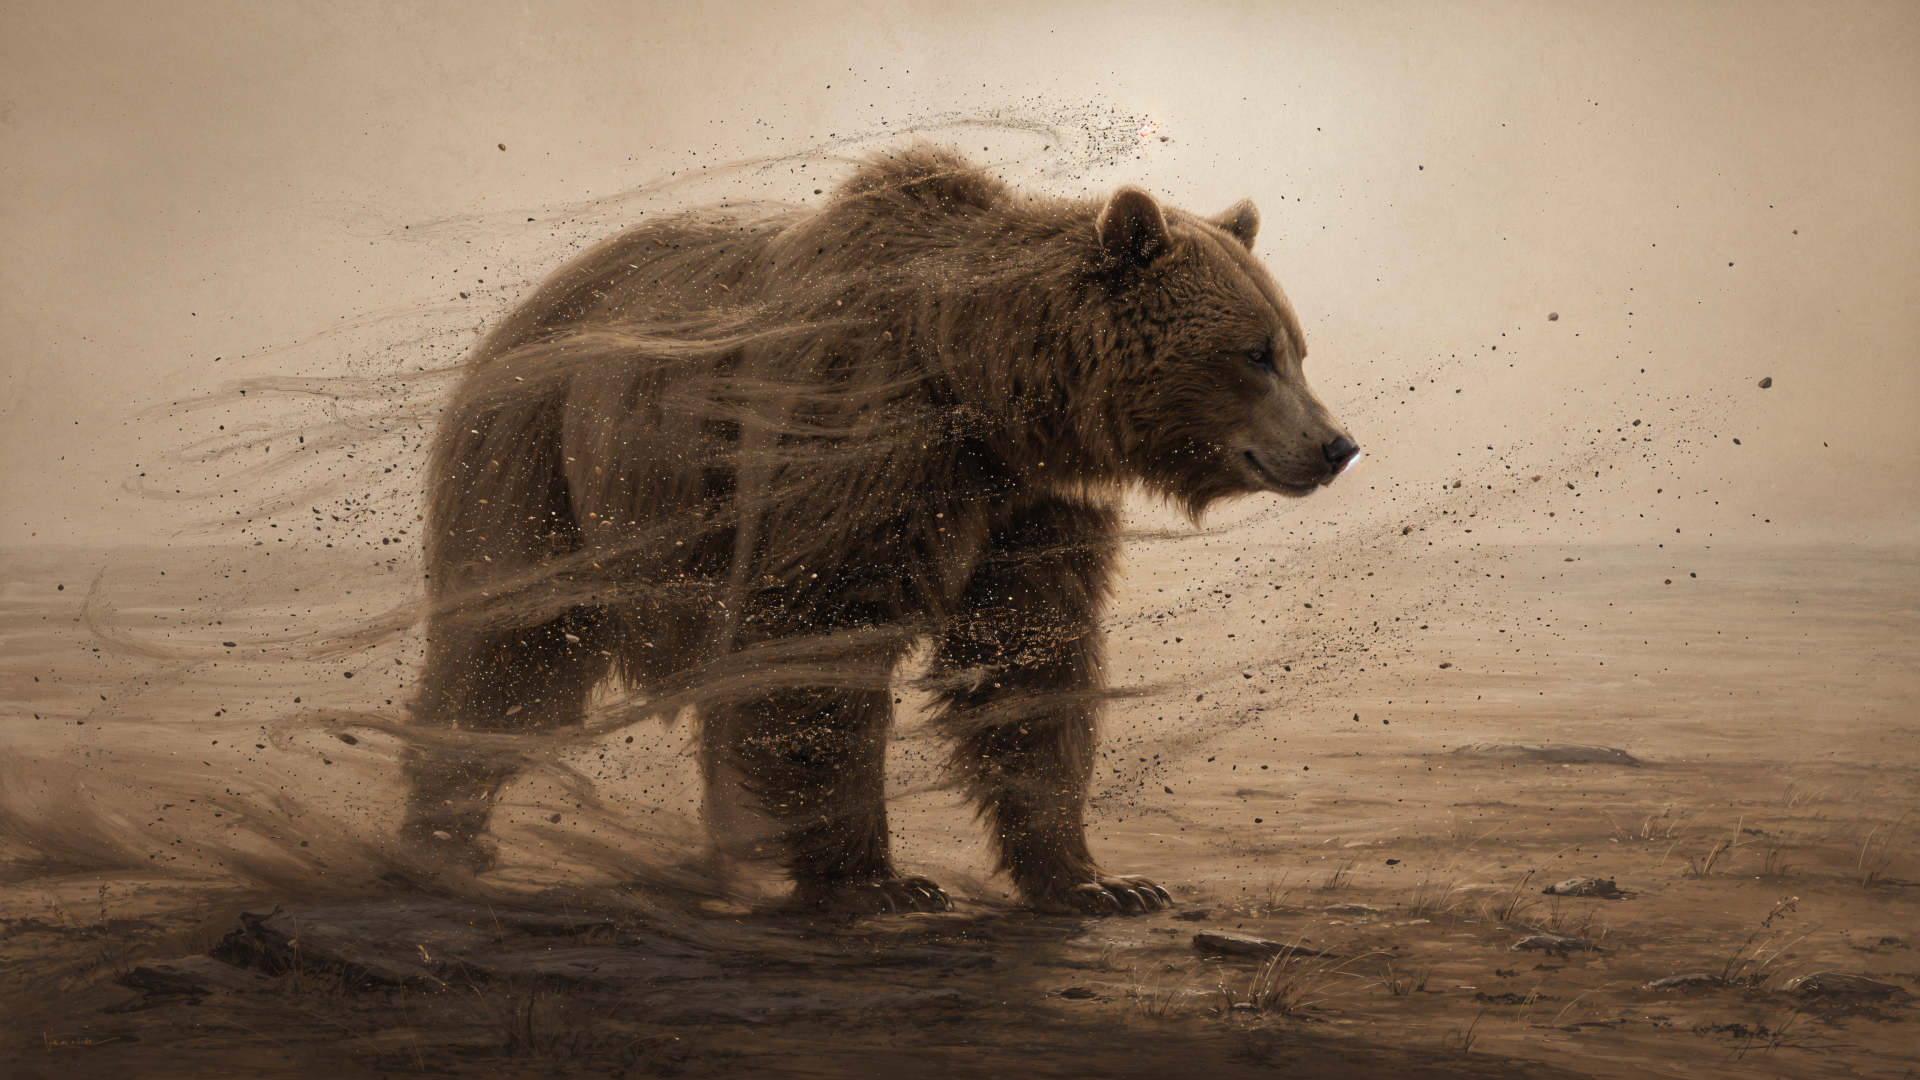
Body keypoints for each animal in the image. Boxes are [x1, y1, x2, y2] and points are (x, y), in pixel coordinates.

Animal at [403, 144, 1358, 915]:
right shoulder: (860, 441)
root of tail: (525, 310)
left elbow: (1030, 661)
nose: (1337, 444)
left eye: (1296, 347)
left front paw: (1097, 880)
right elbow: (822, 643)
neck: (983, 390)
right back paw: (442, 834)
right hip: (542, 466)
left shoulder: (1027, 505)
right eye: (1255, 352)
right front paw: (876, 878)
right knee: (511, 654)